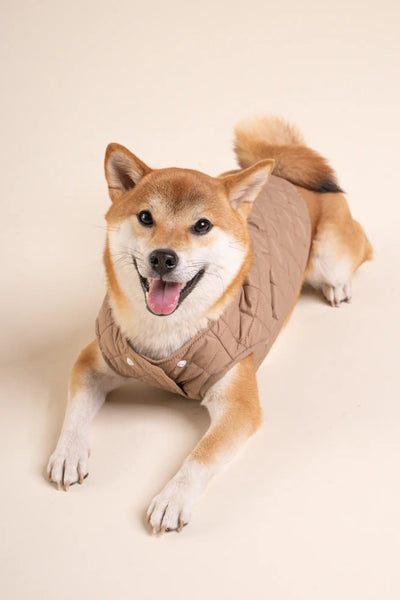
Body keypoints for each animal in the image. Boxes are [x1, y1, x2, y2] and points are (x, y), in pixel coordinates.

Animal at [47, 115, 372, 534]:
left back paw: (338, 286)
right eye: (146, 217)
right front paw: (68, 453)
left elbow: (201, 456)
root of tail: (283, 173)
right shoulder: (96, 358)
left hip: (328, 255)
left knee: (360, 252)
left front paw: (173, 498)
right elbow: (75, 412)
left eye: (202, 225)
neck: (165, 336)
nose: (163, 257)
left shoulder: (239, 403)